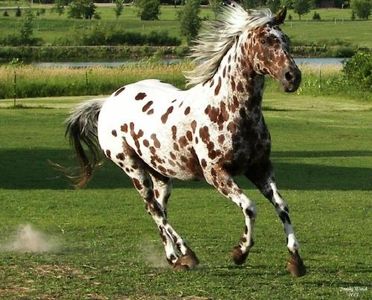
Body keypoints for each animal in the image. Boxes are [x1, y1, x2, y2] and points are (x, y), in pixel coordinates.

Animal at [66, 3, 306, 278]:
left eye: (286, 40)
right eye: (266, 41)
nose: (292, 77)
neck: (228, 109)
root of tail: (108, 101)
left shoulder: (260, 168)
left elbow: (282, 206)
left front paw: (296, 260)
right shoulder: (217, 174)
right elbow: (250, 207)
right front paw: (240, 252)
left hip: (160, 173)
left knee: (158, 209)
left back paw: (174, 256)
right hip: (132, 168)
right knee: (154, 209)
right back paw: (186, 254)